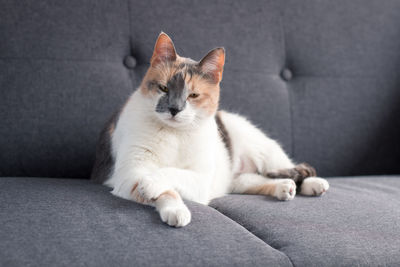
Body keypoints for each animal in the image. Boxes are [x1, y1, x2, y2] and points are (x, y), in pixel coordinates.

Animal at [92, 31, 330, 228]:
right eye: (164, 88)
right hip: (236, 180)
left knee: (290, 169)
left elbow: (170, 173)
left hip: (265, 151)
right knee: (257, 180)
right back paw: (284, 188)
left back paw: (314, 184)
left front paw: (151, 183)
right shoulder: (128, 175)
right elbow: (166, 191)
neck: (174, 134)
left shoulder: (201, 179)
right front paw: (176, 210)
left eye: (193, 95)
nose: (174, 109)